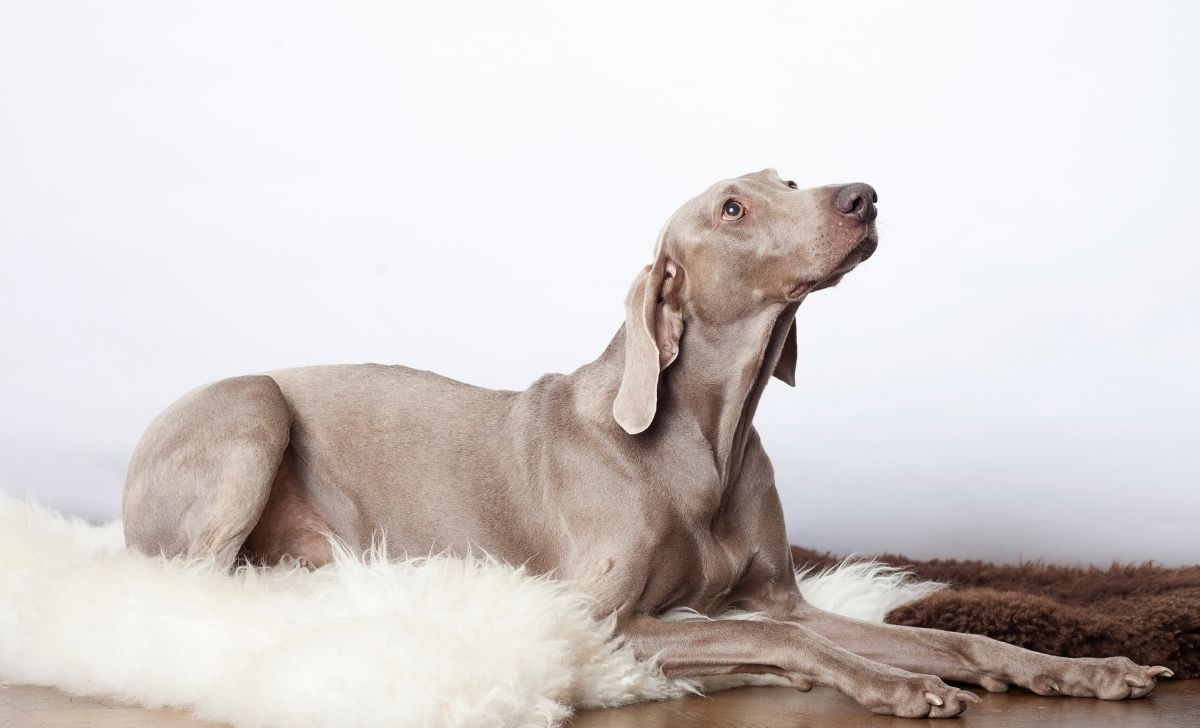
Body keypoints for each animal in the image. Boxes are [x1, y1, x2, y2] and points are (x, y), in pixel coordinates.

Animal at [124, 169, 1171, 719]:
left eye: (791, 181)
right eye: (733, 209)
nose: (864, 196)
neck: (708, 439)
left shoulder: (782, 597)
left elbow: (939, 632)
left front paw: (1074, 669)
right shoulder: (597, 618)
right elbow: (771, 640)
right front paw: (892, 684)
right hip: (252, 409)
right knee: (197, 582)